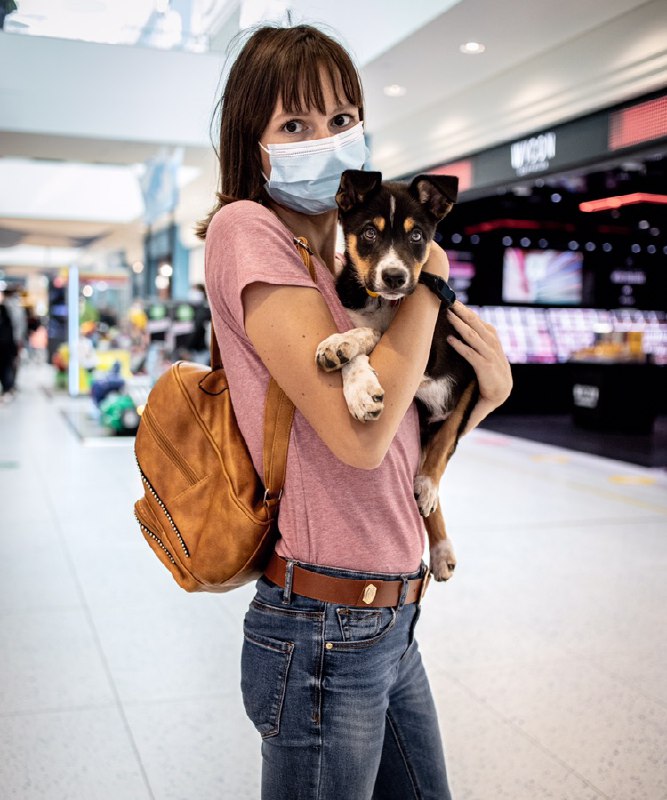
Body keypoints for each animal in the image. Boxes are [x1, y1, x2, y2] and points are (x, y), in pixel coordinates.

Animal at [318, 170, 480, 580]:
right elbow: (360, 342)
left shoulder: (432, 353)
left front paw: (345, 343)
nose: (394, 277)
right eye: (369, 233)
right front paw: (357, 383)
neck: (382, 302)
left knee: (443, 444)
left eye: (417, 235)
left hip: (469, 378)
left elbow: (375, 334)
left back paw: (432, 510)